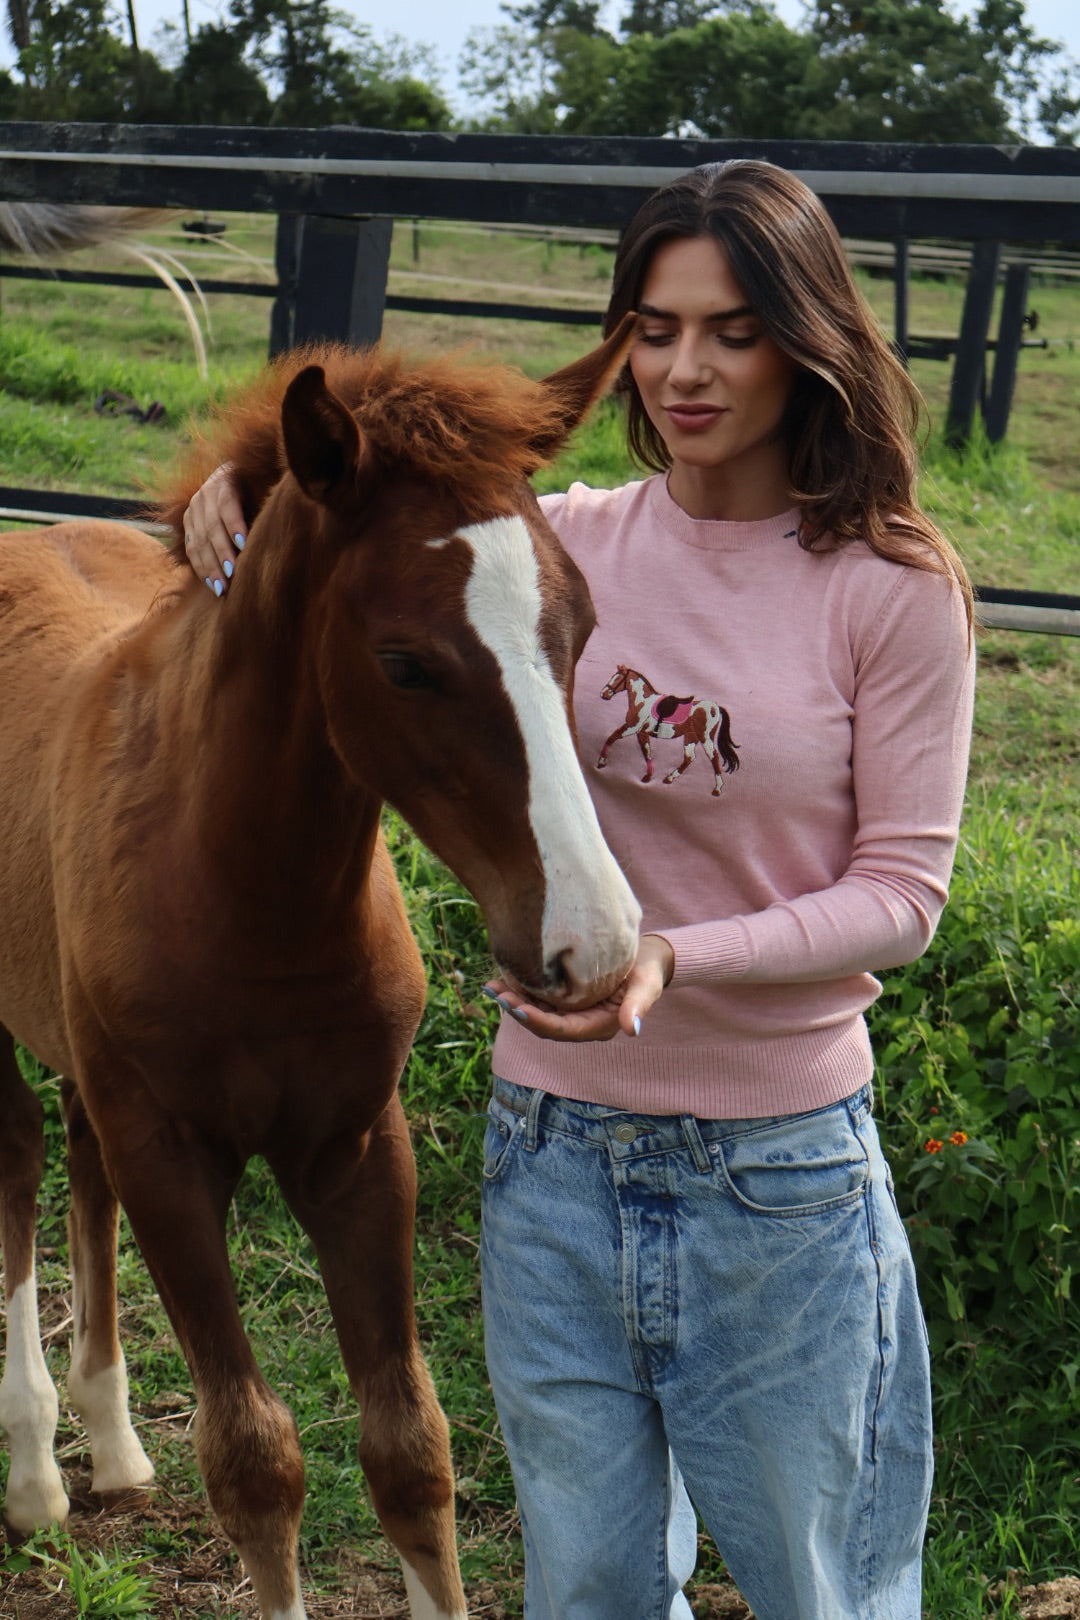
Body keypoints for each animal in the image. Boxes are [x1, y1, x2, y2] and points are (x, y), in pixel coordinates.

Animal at [0, 326, 643, 1620]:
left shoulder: (356, 1148)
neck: (252, 899)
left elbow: (413, 1450)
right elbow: (255, 1458)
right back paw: (37, 1470)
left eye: (584, 625)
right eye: (404, 663)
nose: (595, 947)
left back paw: (116, 1445)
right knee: (19, 1158)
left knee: (75, 1157)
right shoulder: (173, 1158)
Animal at [598, 663, 740, 796]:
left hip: (705, 737)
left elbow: (612, 737)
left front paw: (601, 762)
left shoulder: (631, 727)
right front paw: (648, 777)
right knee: (689, 757)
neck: (643, 701)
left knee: (713, 756)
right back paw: (669, 778)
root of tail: (716, 707)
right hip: (690, 737)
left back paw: (717, 789)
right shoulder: (642, 733)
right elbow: (647, 752)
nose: (603, 694)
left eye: (618, 678)